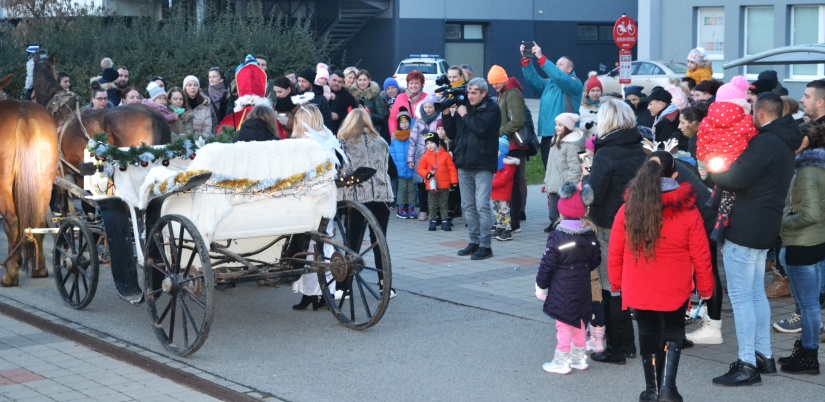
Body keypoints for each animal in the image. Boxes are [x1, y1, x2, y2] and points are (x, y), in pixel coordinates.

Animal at [0, 73, 58, 286]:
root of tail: (23, 116)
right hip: (44, 182)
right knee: (39, 221)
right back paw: (38, 267)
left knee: (11, 221)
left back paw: (10, 274)